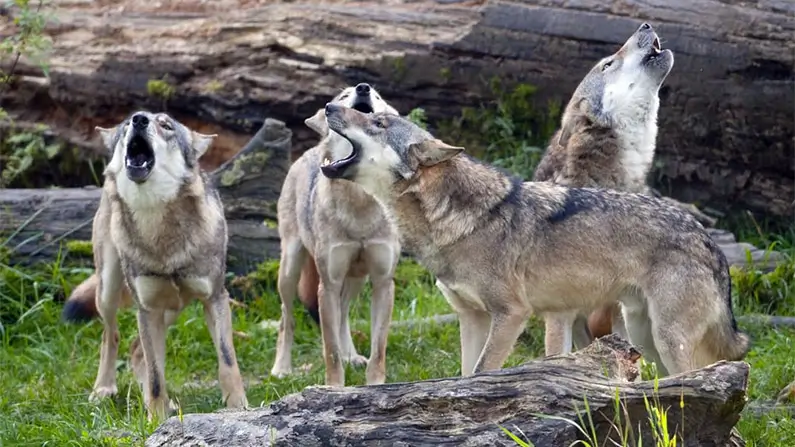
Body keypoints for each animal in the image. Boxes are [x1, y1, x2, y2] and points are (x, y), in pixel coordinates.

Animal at [61, 111, 248, 420]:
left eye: (166, 125)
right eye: (126, 125)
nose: (138, 119)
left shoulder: (215, 298)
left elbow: (227, 360)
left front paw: (238, 408)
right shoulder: (147, 309)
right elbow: (156, 376)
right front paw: (156, 420)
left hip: (172, 308)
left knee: (137, 351)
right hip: (110, 291)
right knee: (112, 338)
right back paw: (103, 390)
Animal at [270, 83, 401, 387]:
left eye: (378, 97)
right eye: (343, 96)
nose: (364, 88)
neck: (360, 204)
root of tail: (307, 151)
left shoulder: (383, 283)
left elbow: (378, 350)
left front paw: (375, 386)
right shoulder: (327, 286)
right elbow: (329, 351)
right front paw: (334, 389)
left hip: (356, 278)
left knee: (343, 315)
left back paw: (351, 355)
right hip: (290, 270)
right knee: (286, 318)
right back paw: (281, 368)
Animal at [317, 105, 749, 378]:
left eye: (379, 122)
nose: (328, 106)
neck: (457, 220)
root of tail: (709, 242)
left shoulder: (511, 314)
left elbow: (482, 372)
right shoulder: (471, 318)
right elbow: (464, 377)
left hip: (666, 338)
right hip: (644, 335)